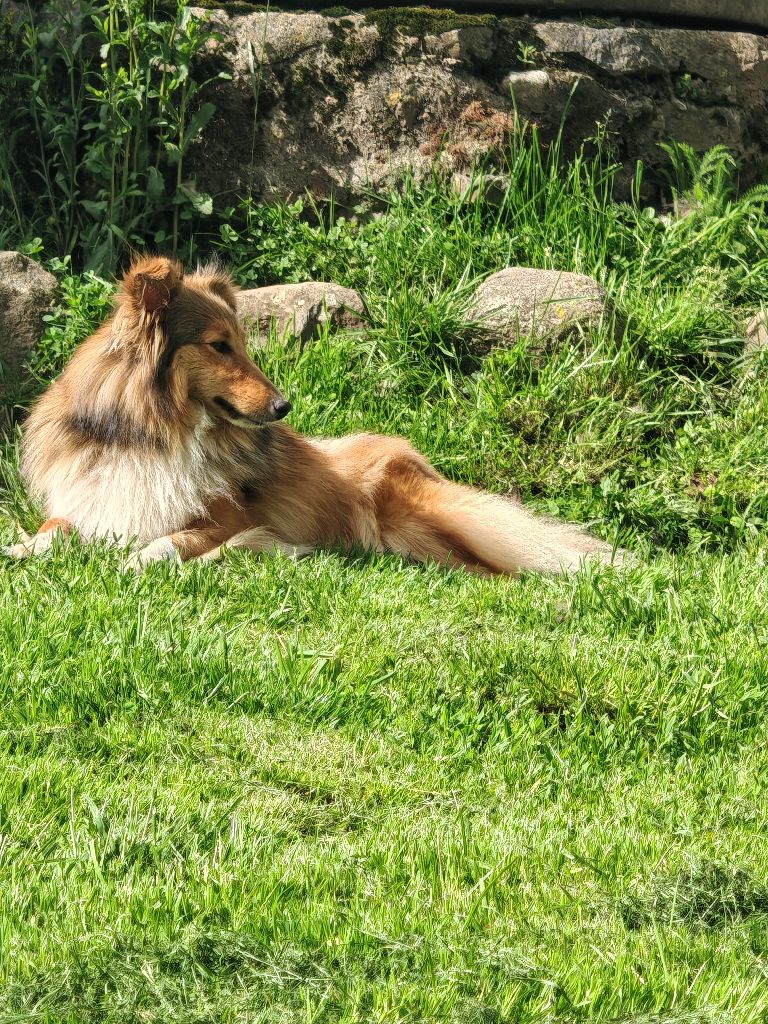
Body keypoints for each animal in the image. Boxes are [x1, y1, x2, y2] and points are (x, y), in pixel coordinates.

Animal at [4, 253, 626, 577]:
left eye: (243, 344)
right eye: (219, 346)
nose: (284, 407)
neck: (149, 434)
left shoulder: (227, 517)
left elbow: (167, 543)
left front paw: (136, 560)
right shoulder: (91, 499)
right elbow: (55, 530)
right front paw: (20, 550)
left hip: (431, 521)